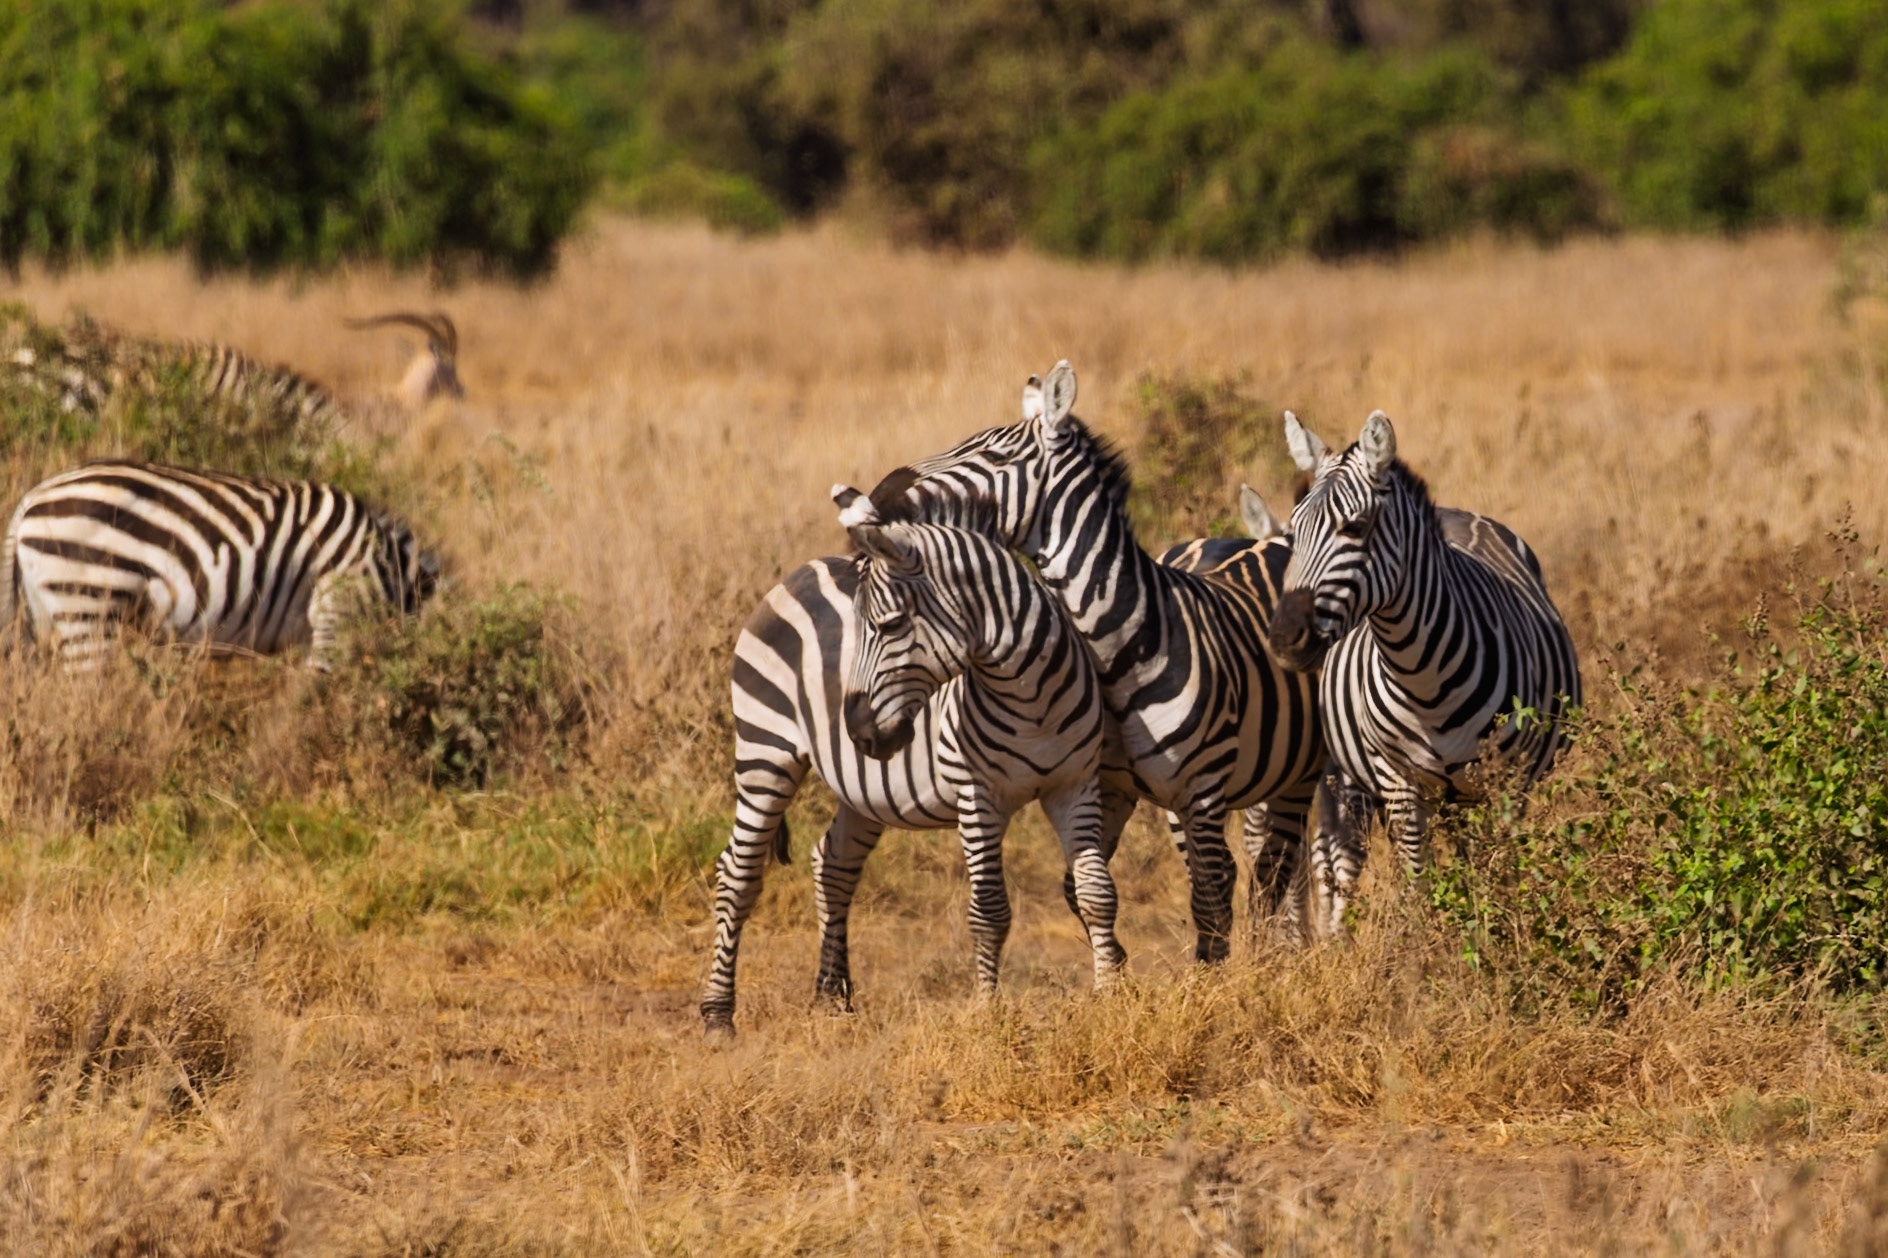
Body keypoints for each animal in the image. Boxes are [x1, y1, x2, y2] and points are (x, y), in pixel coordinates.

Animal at [702, 491, 1127, 1034]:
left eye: (892, 626)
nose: (857, 730)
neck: (1031, 698)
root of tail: (802, 570)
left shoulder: (1075, 785)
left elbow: (1097, 892)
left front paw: (1111, 998)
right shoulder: (977, 795)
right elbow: (989, 911)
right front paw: (987, 1013)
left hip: (863, 788)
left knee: (833, 863)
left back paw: (832, 997)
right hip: (764, 750)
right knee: (737, 873)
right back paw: (718, 1014)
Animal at [861, 362, 1325, 963]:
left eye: (993, 454)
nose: (879, 493)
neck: (1119, 650)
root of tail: (1276, 542)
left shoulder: (1200, 789)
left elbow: (1211, 896)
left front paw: (1212, 980)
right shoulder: (1109, 786)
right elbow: (1081, 888)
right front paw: (1119, 966)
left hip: (1298, 775)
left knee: (1271, 871)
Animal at [1269, 409, 1581, 937]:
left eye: (1356, 527)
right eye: (1294, 532)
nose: (1285, 638)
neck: (1422, 678)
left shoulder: (1506, 781)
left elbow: (1501, 872)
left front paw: (1502, 938)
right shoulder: (1398, 780)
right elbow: (1417, 881)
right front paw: (1428, 947)